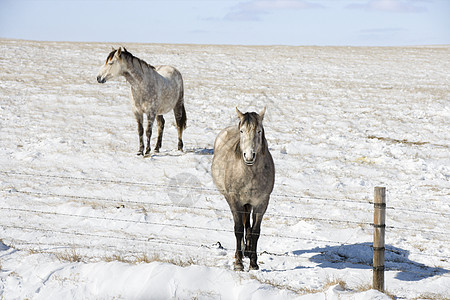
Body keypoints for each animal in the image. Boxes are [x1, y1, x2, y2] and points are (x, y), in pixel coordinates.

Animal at [211, 108, 274, 272]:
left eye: (259, 131)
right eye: (242, 131)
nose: (249, 156)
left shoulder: (261, 203)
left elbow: (255, 231)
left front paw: (253, 263)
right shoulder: (235, 201)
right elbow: (238, 229)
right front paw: (238, 263)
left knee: (249, 226)